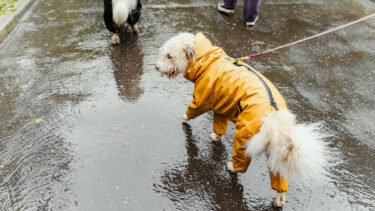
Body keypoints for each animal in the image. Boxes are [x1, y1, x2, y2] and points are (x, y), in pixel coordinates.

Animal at [154, 33, 336, 208]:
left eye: (169, 56)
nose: (156, 67)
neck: (207, 59)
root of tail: (274, 116)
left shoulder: (203, 98)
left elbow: (193, 110)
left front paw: (185, 118)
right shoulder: (221, 108)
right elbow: (219, 127)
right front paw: (216, 137)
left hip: (244, 138)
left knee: (241, 165)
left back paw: (231, 167)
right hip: (275, 153)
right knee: (280, 181)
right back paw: (279, 200)